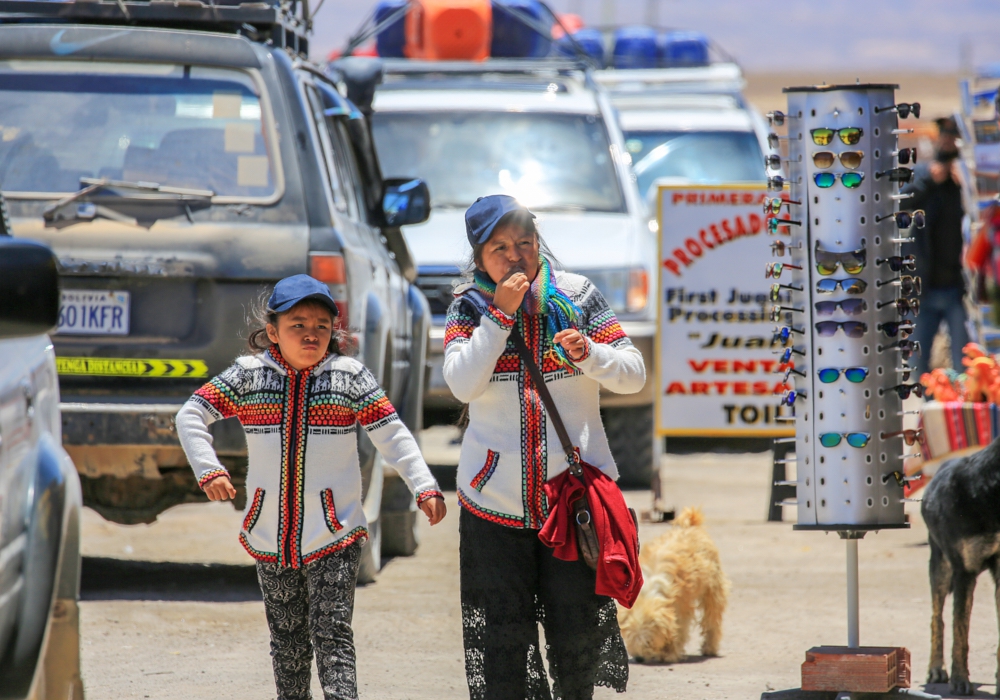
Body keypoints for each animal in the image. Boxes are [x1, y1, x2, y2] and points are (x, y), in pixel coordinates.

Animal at [616, 506, 728, 664]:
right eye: (630, 639)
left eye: (648, 642)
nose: (639, 658)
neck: (649, 591)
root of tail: (691, 526)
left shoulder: (682, 605)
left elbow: (678, 628)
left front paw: (670, 653)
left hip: (712, 590)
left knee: (712, 617)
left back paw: (710, 647)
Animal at [920, 438, 1000, 696]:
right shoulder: (963, 573)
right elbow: (960, 631)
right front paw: (959, 680)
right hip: (940, 568)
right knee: (937, 618)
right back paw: (937, 668)